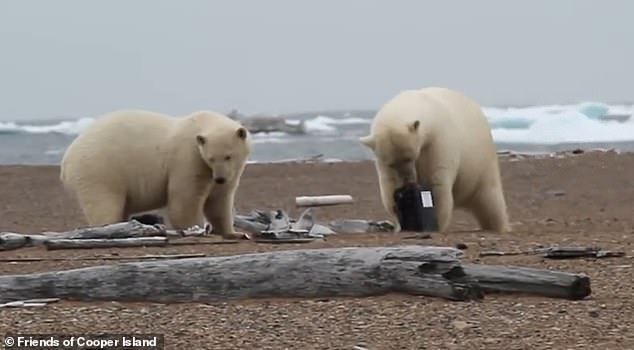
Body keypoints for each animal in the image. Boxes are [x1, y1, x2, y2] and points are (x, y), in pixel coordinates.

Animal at [59, 109, 251, 239]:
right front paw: (196, 229)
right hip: (98, 169)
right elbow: (185, 200)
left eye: (228, 156)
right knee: (103, 203)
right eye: (211, 158)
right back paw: (112, 229)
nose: (220, 178)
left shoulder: (229, 171)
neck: (200, 122)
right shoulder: (188, 159)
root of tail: (66, 161)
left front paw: (234, 233)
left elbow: (219, 201)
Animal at [358, 86, 512, 234]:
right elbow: (389, 185)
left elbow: (437, 184)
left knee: (490, 200)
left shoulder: (437, 142)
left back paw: (500, 226)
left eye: (410, 158)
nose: (408, 181)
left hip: (481, 163)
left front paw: (436, 224)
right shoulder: (382, 160)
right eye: (392, 164)